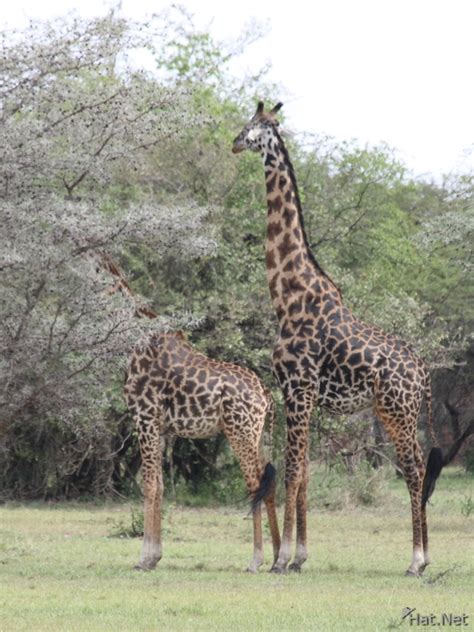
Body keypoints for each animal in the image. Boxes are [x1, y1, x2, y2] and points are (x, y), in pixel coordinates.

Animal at [97, 249, 282, 572]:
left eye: (99, 270)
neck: (133, 344)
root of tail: (265, 393)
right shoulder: (159, 428)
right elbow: (159, 485)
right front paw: (154, 556)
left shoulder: (144, 418)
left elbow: (148, 485)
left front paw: (143, 558)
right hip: (258, 435)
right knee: (268, 484)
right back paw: (275, 558)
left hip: (240, 432)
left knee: (254, 484)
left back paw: (255, 560)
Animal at [232, 100, 444, 576]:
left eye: (254, 125)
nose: (234, 142)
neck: (287, 296)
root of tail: (424, 372)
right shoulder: (299, 394)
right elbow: (306, 472)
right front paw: (299, 557)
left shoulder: (297, 388)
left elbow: (293, 470)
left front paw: (281, 559)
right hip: (394, 412)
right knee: (420, 467)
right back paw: (422, 558)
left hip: (397, 411)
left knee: (414, 469)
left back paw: (415, 560)